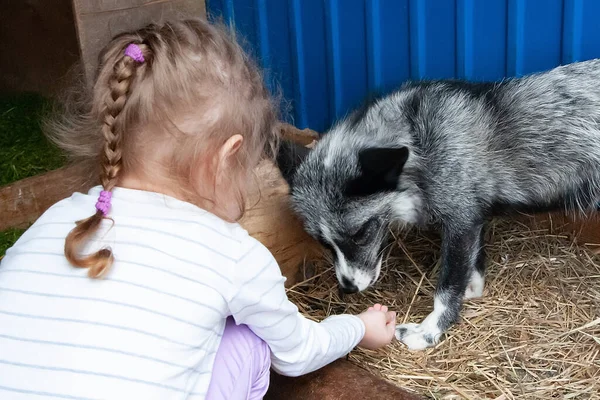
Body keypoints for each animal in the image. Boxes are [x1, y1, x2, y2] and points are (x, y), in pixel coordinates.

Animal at [278, 57, 600, 348]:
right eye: (323, 242)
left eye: (361, 233)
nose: (347, 288)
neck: (420, 141)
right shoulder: (471, 216)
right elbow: (472, 266)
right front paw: (471, 291)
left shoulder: (460, 220)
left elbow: (445, 289)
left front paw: (430, 331)